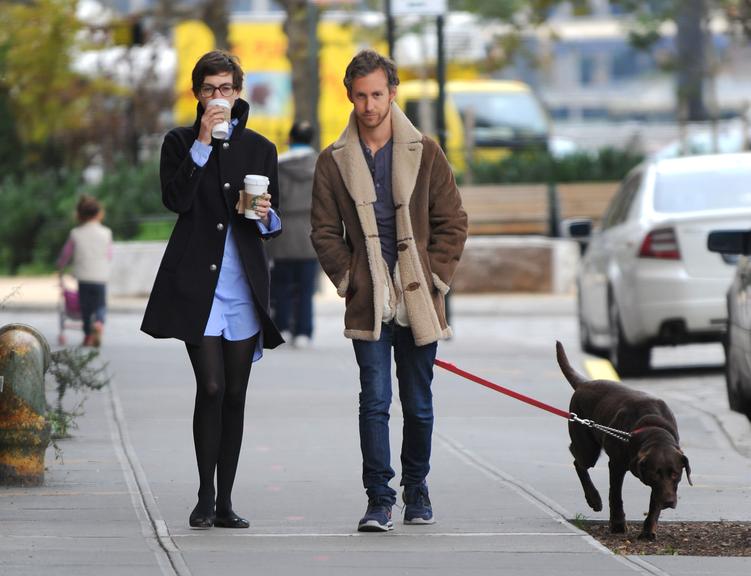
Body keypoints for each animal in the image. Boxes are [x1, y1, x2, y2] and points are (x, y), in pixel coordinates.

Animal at [560, 342, 692, 540]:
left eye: (675, 474)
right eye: (655, 474)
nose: (668, 502)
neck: (651, 428)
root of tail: (585, 383)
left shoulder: (660, 486)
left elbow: (654, 503)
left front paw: (648, 530)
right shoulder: (616, 465)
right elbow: (615, 496)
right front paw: (618, 525)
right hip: (587, 449)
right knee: (578, 461)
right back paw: (594, 499)